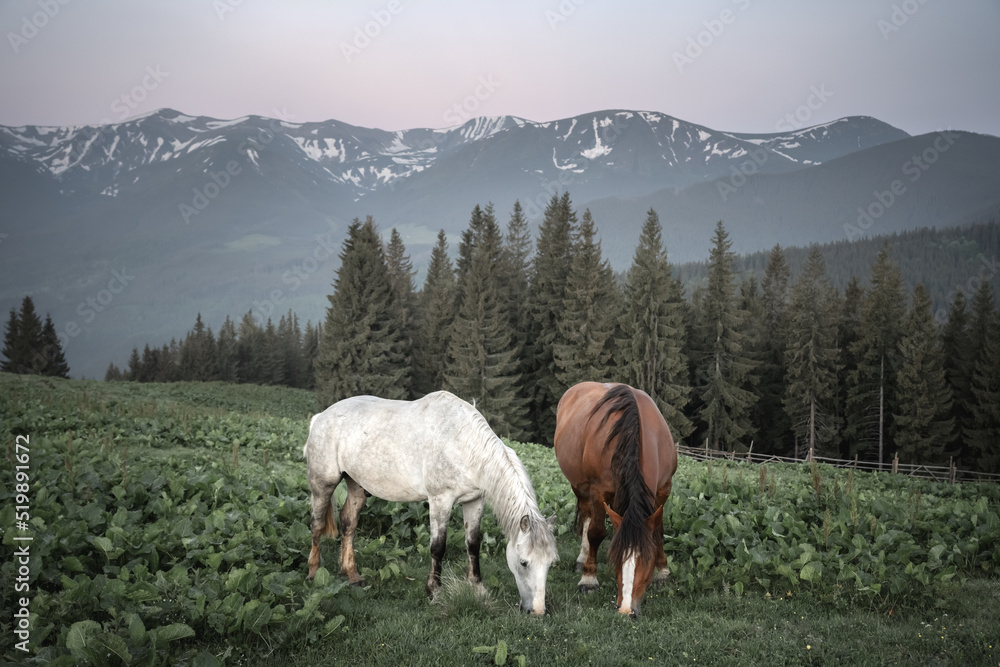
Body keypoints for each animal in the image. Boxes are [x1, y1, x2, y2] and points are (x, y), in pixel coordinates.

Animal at [300, 392, 560, 616]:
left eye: (550, 563)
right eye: (524, 562)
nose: (537, 610)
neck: (463, 444)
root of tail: (320, 417)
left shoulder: (475, 501)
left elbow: (473, 544)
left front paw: (477, 588)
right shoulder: (440, 501)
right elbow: (438, 547)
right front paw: (434, 592)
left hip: (356, 486)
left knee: (348, 524)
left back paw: (352, 575)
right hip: (323, 485)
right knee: (316, 525)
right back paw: (313, 573)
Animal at [556, 380, 680, 616]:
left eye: (647, 560)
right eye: (618, 559)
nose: (626, 609)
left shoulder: (664, 489)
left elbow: (658, 531)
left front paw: (663, 571)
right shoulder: (598, 491)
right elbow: (596, 533)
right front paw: (589, 579)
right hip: (580, 486)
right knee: (587, 515)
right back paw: (582, 559)